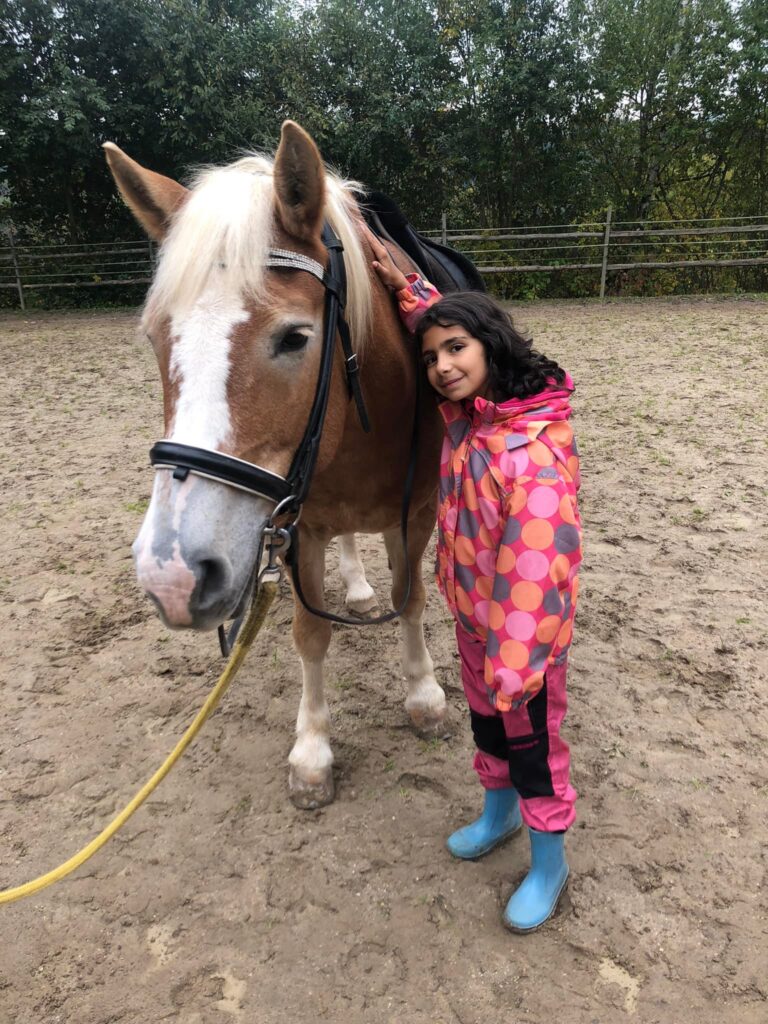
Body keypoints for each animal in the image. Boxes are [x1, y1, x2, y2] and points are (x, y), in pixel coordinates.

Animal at [104, 120, 448, 808]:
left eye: (295, 337)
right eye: (155, 337)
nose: (171, 576)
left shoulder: (416, 514)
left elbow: (413, 599)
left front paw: (424, 696)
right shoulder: (297, 526)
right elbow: (310, 633)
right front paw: (312, 752)